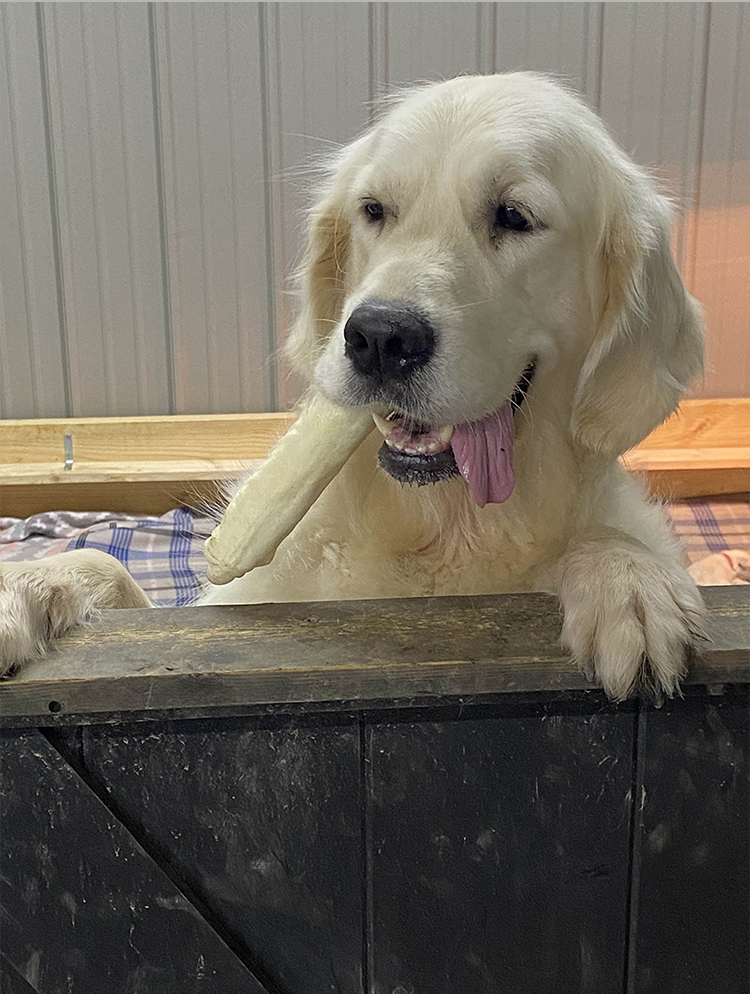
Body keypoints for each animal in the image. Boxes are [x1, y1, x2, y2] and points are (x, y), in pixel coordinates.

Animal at [0, 75, 708, 696]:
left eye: (513, 215)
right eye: (374, 211)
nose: (379, 338)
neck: (436, 532)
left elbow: (608, 538)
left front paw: (627, 579)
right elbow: (107, 566)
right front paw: (25, 586)